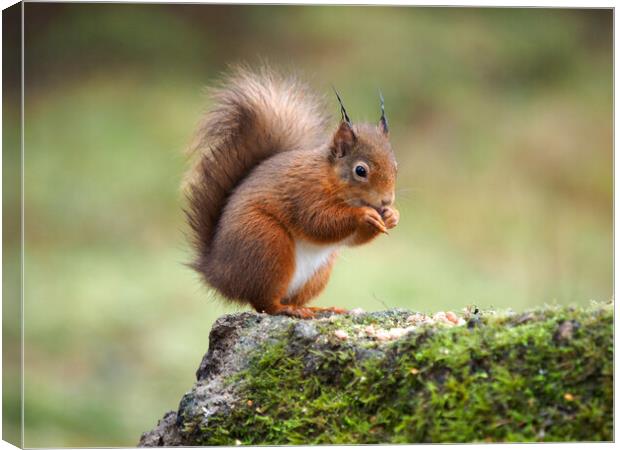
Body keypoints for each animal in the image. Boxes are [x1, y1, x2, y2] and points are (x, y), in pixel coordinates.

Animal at [182, 67, 400, 320]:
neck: (329, 178)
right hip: (267, 244)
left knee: (291, 298)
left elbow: (352, 239)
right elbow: (318, 222)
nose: (387, 200)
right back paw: (286, 309)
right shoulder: (304, 192)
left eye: (396, 167)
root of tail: (218, 274)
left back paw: (315, 308)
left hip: (317, 272)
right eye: (360, 170)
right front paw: (363, 215)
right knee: (264, 303)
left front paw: (392, 216)